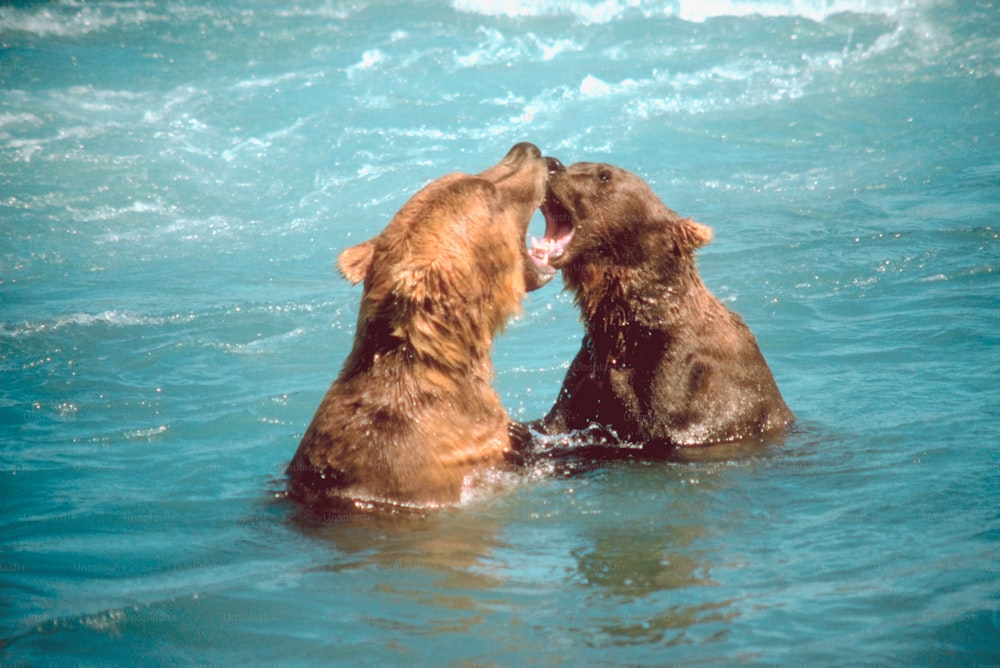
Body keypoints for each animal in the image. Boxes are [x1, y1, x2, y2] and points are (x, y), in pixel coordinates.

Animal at [528, 157, 792, 448]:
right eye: (576, 163)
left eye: (604, 175)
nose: (552, 163)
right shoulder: (589, 356)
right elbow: (553, 420)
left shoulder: (693, 371)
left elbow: (664, 424)